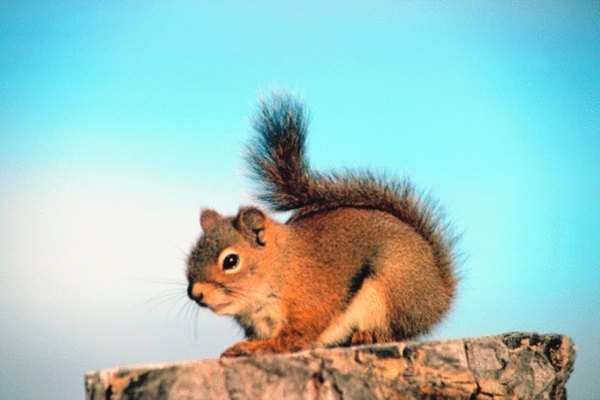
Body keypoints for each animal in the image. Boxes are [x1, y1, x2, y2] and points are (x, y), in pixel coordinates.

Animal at [185, 93, 458, 356]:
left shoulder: (310, 303)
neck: (280, 267)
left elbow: (290, 338)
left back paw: (369, 335)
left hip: (394, 284)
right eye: (189, 257)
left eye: (231, 261)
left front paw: (255, 348)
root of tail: (440, 294)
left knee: (396, 330)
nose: (195, 293)